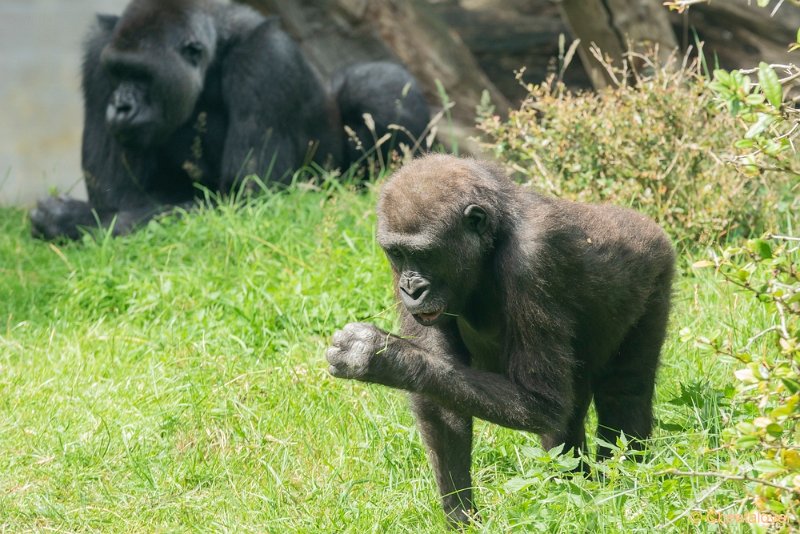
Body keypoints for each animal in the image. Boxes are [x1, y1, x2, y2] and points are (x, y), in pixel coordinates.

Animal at [29, 0, 432, 241]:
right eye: (118, 72)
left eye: (142, 76)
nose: (120, 107)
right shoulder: (98, 52)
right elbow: (118, 193)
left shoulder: (266, 59)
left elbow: (248, 198)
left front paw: (72, 218)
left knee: (377, 85)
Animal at [324, 155, 676, 528]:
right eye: (397, 254)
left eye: (426, 254)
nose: (411, 290)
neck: (493, 238)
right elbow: (441, 399)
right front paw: (461, 517)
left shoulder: (533, 259)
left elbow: (541, 402)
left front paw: (383, 357)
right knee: (570, 415)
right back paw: (573, 491)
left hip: (656, 268)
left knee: (625, 391)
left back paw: (625, 487)